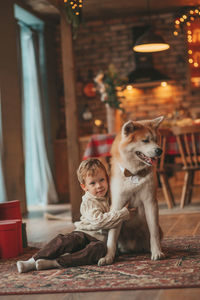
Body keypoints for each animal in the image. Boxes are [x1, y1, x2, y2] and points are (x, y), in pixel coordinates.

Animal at [98, 116, 166, 266]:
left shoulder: (150, 202)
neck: (134, 173)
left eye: (156, 139)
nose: (160, 150)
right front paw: (108, 257)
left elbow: (154, 232)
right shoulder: (118, 204)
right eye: (145, 140)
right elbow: (112, 236)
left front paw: (156, 252)